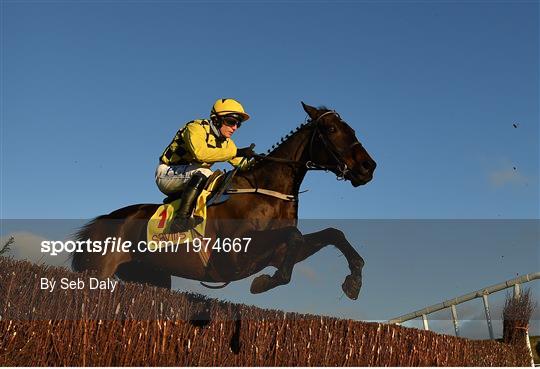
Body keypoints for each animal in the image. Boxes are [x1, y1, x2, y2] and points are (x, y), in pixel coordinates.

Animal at [70, 102, 376, 300]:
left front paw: (354, 281)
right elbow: (294, 235)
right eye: (331, 129)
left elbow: (330, 234)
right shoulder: (234, 256)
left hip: (153, 276)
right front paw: (263, 283)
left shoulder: (277, 254)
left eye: (351, 128)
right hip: (97, 271)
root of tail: (98, 224)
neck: (266, 192)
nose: (368, 167)